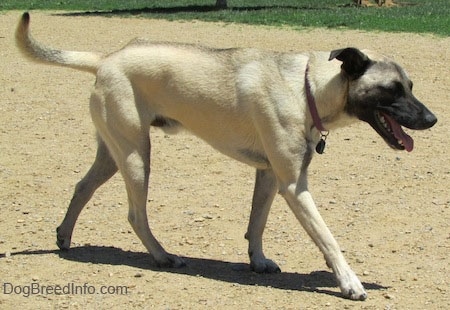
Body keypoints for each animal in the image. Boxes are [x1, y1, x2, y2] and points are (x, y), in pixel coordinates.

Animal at [14, 12, 436, 300]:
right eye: (392, 89)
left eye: (411, 86)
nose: (432, 119)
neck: (308, 89)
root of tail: (106, 59)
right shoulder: (294, 185)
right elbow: (328, 239)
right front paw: (349, 282)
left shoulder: (269, 176)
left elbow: (257, 224)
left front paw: (258, 260)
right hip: (136, 156)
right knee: (135, 215)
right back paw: (163, 256)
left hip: (112, 152)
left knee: (82, 187)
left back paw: (65, 236)